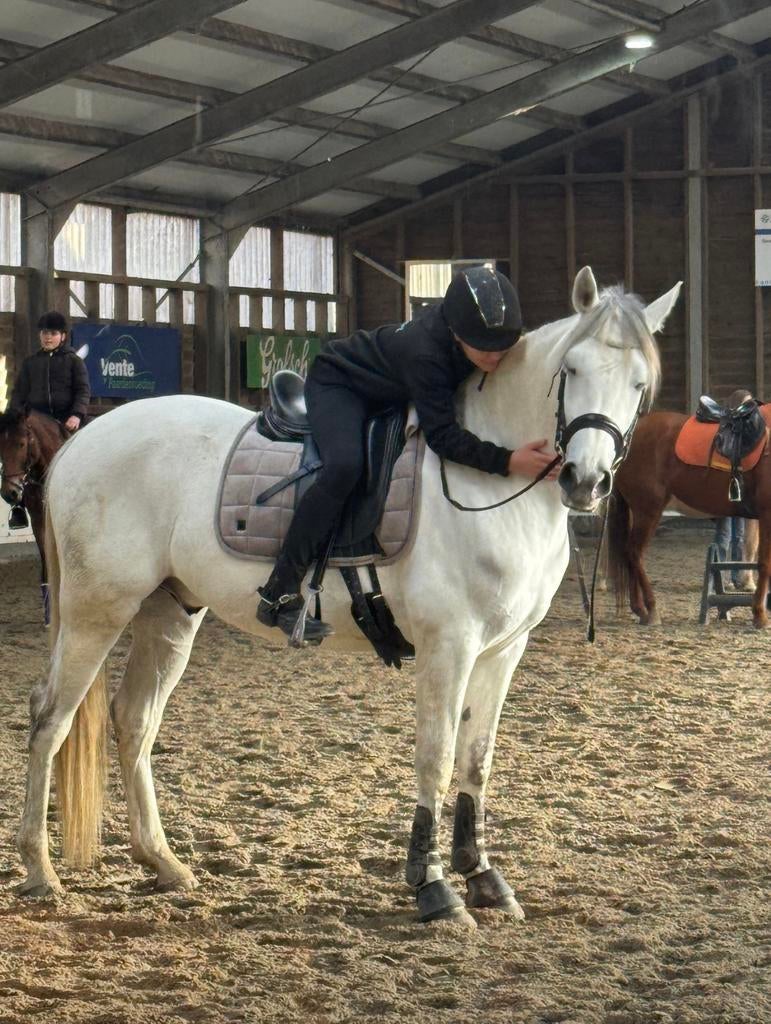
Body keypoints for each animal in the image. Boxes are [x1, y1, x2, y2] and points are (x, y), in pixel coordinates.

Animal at [17, 268, 681, 925]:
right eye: (572, 369)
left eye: (639, 385)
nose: (585, 481)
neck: (492, 482)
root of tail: (86, 440)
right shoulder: (449, 647)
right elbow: (437, 759)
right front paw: (433, 887)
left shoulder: (502, 650)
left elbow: (477, 759)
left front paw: (483, 878)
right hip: (95, 611)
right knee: (51, 716)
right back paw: (40, 870)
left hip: (169, 613)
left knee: (134, 720)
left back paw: (163, 863)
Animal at [609, 407, 770, 629]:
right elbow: (765, 563)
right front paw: (759, 615)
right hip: (647, 510)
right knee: (635, 553)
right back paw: (651, 609)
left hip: (637, 511)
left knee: (629, 553)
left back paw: (639, 609)